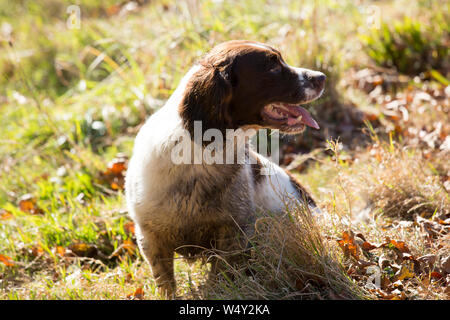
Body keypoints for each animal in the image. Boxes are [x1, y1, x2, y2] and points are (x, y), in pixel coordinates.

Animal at [125, 40, 326, 298]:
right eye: (272, 66)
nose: (322, 77)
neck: (201, 157)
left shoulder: (233, 232)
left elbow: (219, 276)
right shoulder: (150, 237)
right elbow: (166, 283)